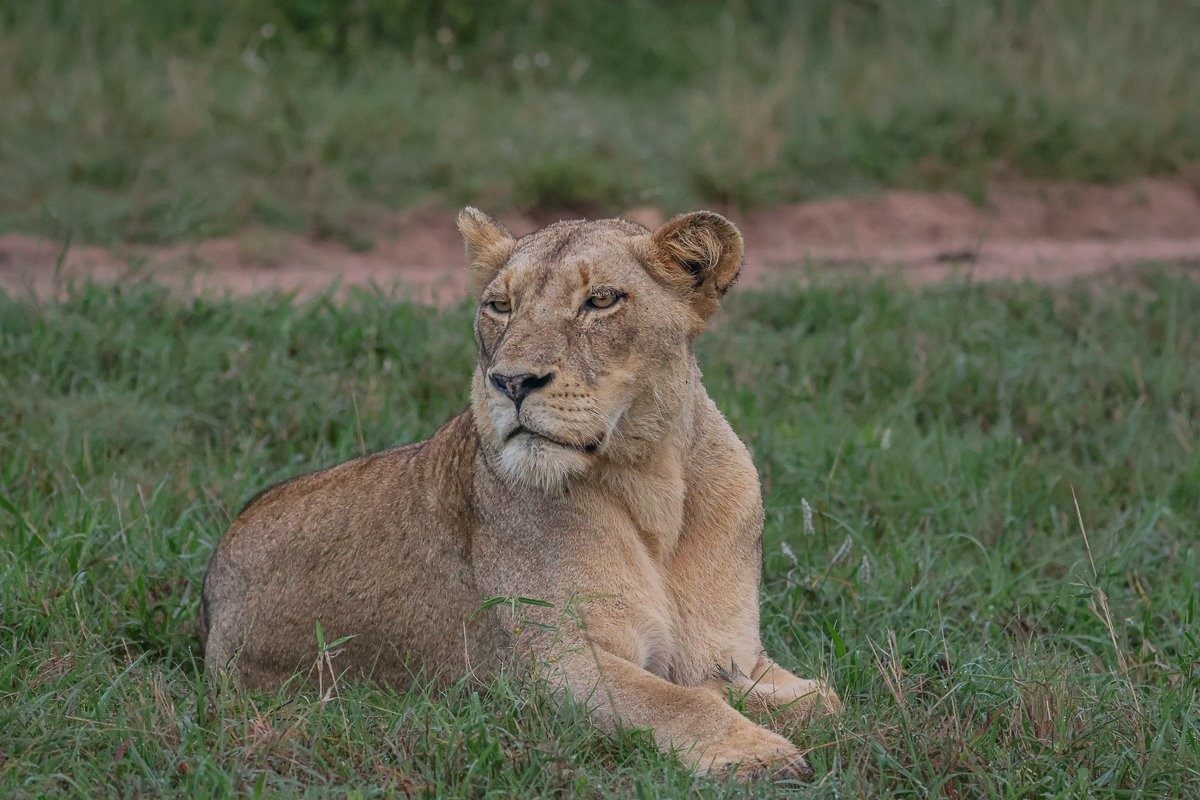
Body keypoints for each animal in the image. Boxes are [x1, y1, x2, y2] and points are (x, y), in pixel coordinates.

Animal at [200, 208, 841, 782]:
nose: (510, 382)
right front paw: (758, 755)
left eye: (601, 301)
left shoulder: (729, 651)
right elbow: (677, 700)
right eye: (499, 306)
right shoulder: (546, 665)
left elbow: (825, 699)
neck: (655, 484)